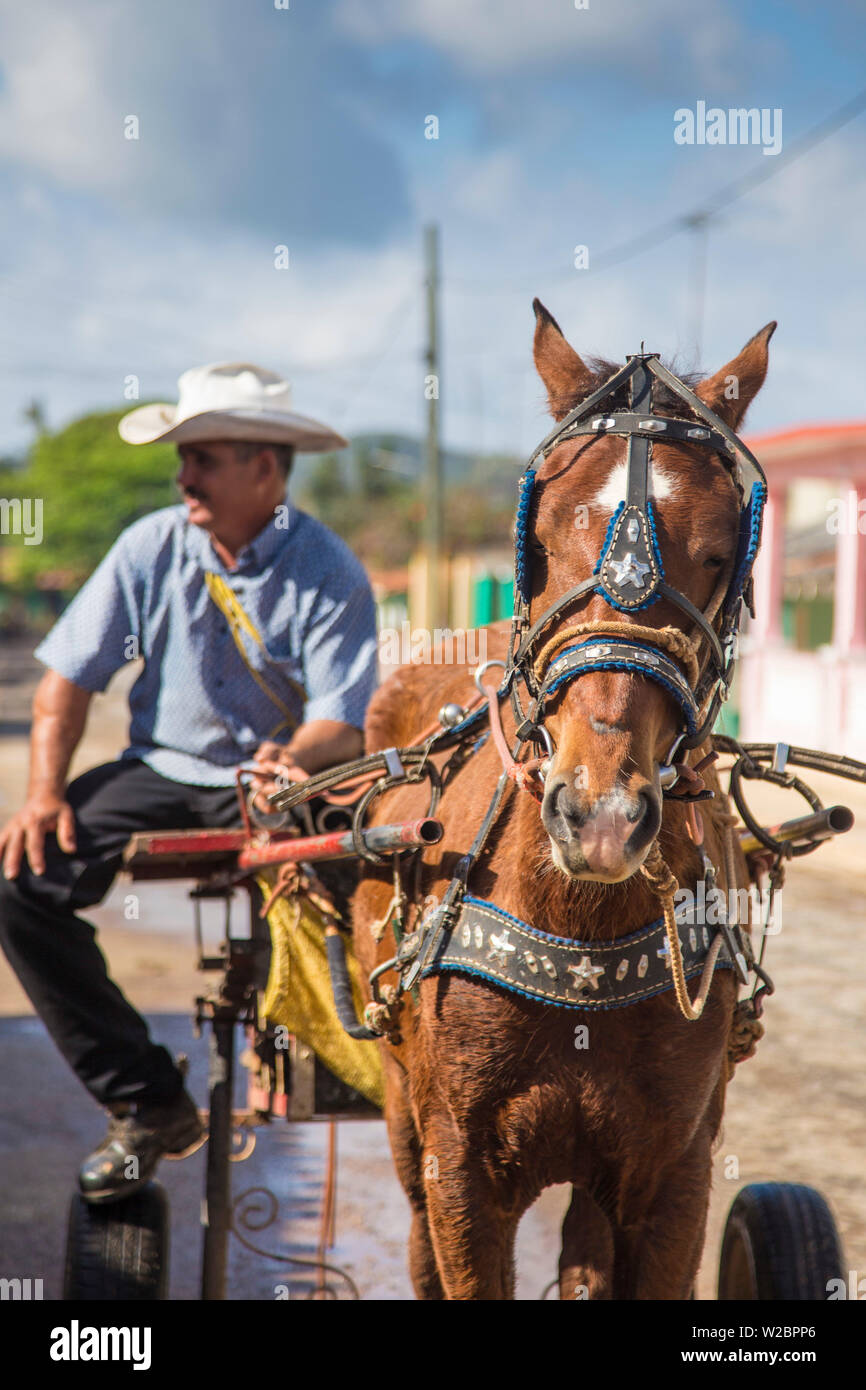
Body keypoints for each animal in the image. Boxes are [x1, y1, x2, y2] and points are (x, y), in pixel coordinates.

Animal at [355, 304, 778, 1301]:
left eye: (720, 555)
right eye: (539, 543)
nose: (601, 818)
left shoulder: (674, 1173)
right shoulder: (460, 1171)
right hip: (401, 1114)